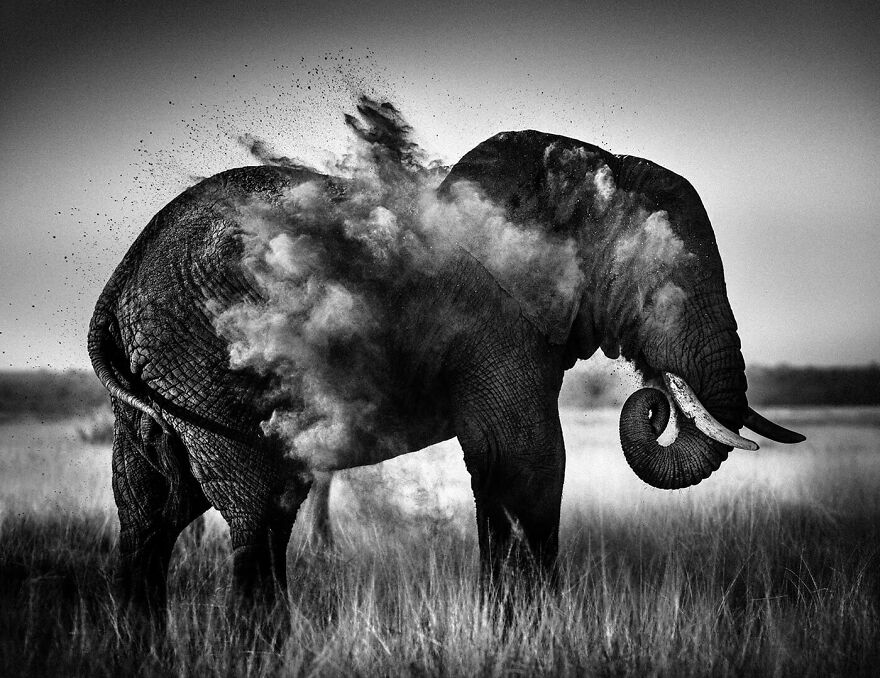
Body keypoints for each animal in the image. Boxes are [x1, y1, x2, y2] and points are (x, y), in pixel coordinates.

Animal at [88, 99, 803, 631]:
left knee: (152, 509)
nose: (653, 401)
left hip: (164, 375)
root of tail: (119, 278)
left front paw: (509, 627)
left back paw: (142, 642)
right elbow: (527, 462)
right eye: (666, 279)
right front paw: (530, 630)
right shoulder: (496, 322)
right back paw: (263, 644)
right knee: (260, 507)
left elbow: (502, 468)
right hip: (208, 358)